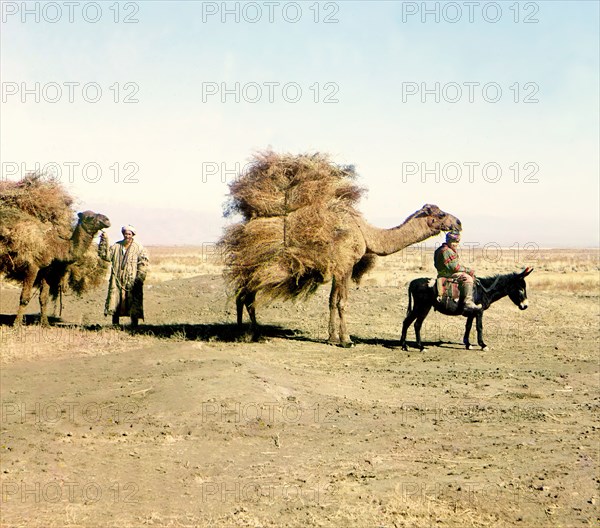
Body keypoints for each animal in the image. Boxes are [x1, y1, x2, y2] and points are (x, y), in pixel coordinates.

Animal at [237, 203, 462, 346]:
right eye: (441, 214)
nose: (458, 222)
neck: (365, 233)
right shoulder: (345, 265)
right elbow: (342, 302)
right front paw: (346, 340)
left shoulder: (339, 268)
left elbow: (331, 300)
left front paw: (331, 338)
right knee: (246, 297)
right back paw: (250, 334)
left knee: (244, 297)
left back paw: (249, 334)